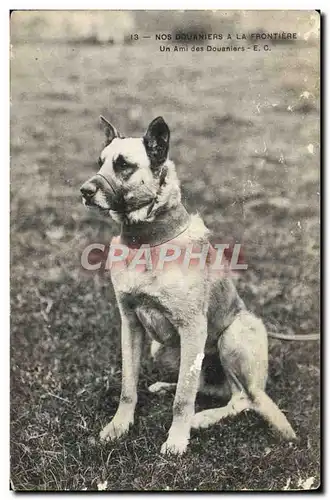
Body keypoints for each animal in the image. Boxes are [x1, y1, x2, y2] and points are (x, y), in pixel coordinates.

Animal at [80, 116, 296, 454]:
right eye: (100, 163)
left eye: (123, 165)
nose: (84, 191)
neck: (148, 240)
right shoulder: (130, 324)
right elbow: (129, 386)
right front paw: (119, 426)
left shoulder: (192, 328)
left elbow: (183, 400)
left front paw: (177, 439)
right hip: (162, 348)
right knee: (206, 386)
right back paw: (167, 388)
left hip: (233, 335)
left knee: (239, 398)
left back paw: (201, 419)